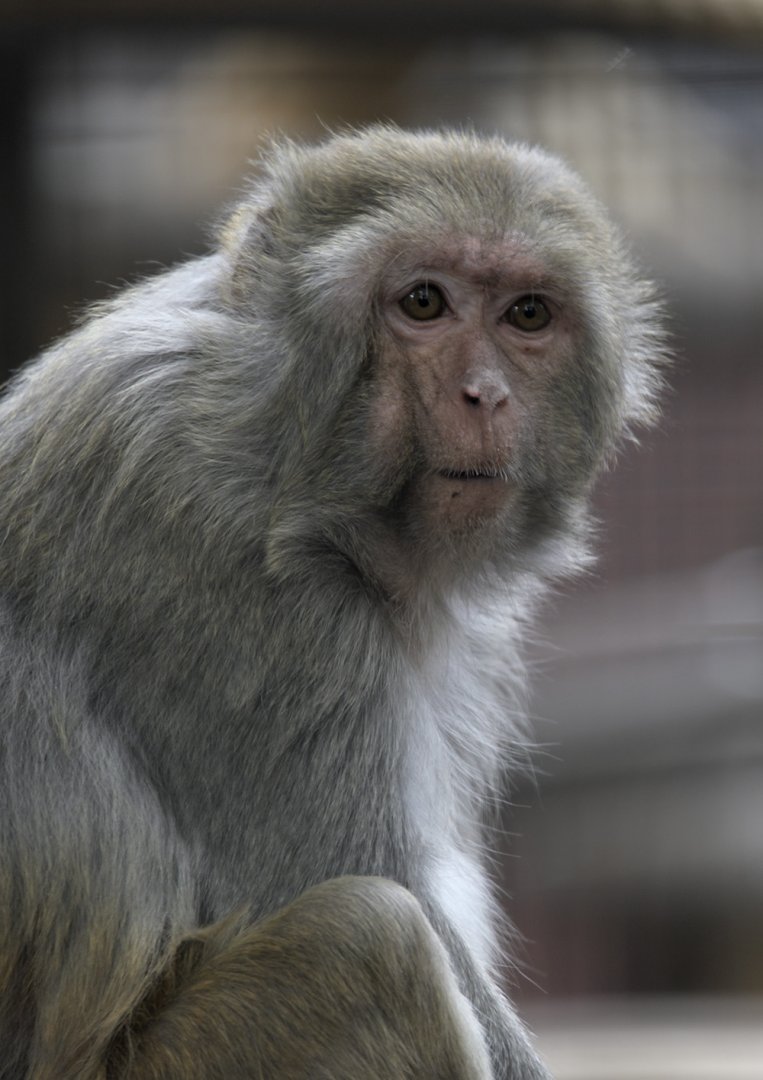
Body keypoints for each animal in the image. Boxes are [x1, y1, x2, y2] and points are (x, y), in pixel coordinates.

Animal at [0, 126, 667, 1079]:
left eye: (527, 316)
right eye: (422, 302)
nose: (484, 394)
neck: (276, 445)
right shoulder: (222, 572)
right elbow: (362, 878)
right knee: (368, 938)